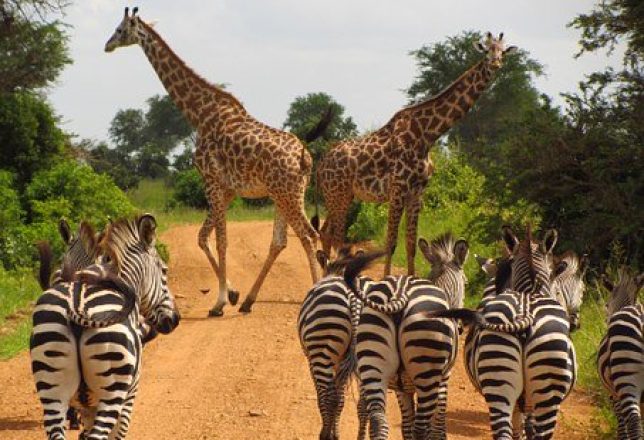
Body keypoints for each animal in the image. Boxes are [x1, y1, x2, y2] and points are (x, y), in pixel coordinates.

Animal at [30, 214, 181, 440]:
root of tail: (77, 307)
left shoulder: (88, 406)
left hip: (52, 391)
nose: (175, 319)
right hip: (112, 388)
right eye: (164, 271)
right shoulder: (130, 394)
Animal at [298, 246, 372, 440]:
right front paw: (335, 432)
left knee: (328, 396)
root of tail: (353, 297)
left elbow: (322, 396)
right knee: (364, 403)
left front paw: (329, 432)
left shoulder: (310, 359)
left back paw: (324, 435)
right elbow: (341, 398)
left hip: (321, 349)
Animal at [344, 233, 469, 440]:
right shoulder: (444, 379)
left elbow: (406, 428)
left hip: (373, 364)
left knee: (379, 421)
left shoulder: (402, 389)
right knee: (421, 427)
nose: (461, 328)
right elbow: (437, 426)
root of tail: (400, 292)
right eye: (466, 284)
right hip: (427, 370)